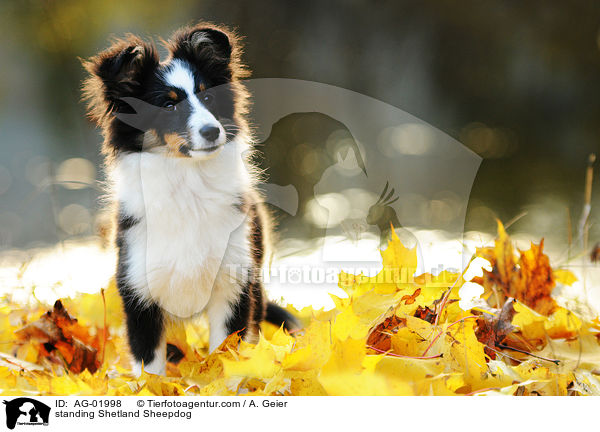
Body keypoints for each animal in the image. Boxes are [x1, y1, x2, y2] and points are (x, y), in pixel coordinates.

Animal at [83, 22, 298, 374]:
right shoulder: (139, 292)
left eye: (208, 95)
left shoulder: (233, 286)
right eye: (169, 105)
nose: (213, 132)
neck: (188, 183)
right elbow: (149, 367)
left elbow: (227, 353)